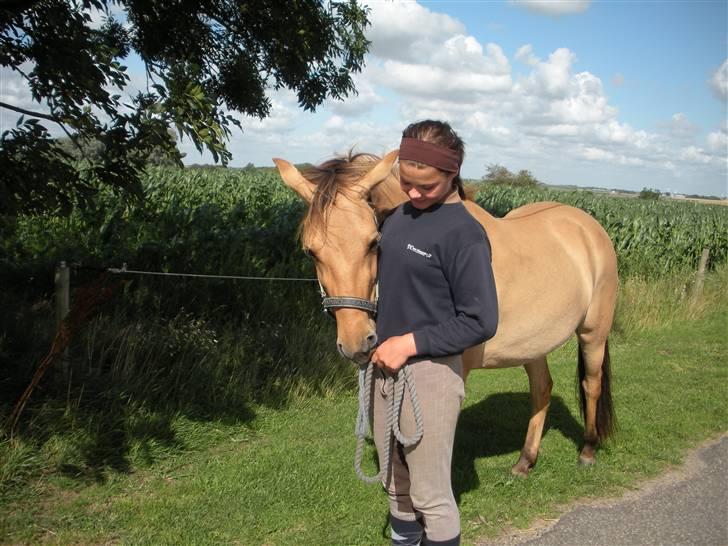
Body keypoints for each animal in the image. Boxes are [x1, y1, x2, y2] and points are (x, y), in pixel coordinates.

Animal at [272, 149, 616, 472]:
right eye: (311, 251)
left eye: (373, 242)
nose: (357, 342)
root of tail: (588, 226)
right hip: (533, 345)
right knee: (542, 389)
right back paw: (525, 461)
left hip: (593, 335)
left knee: (591, 384)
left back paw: (587, 450)